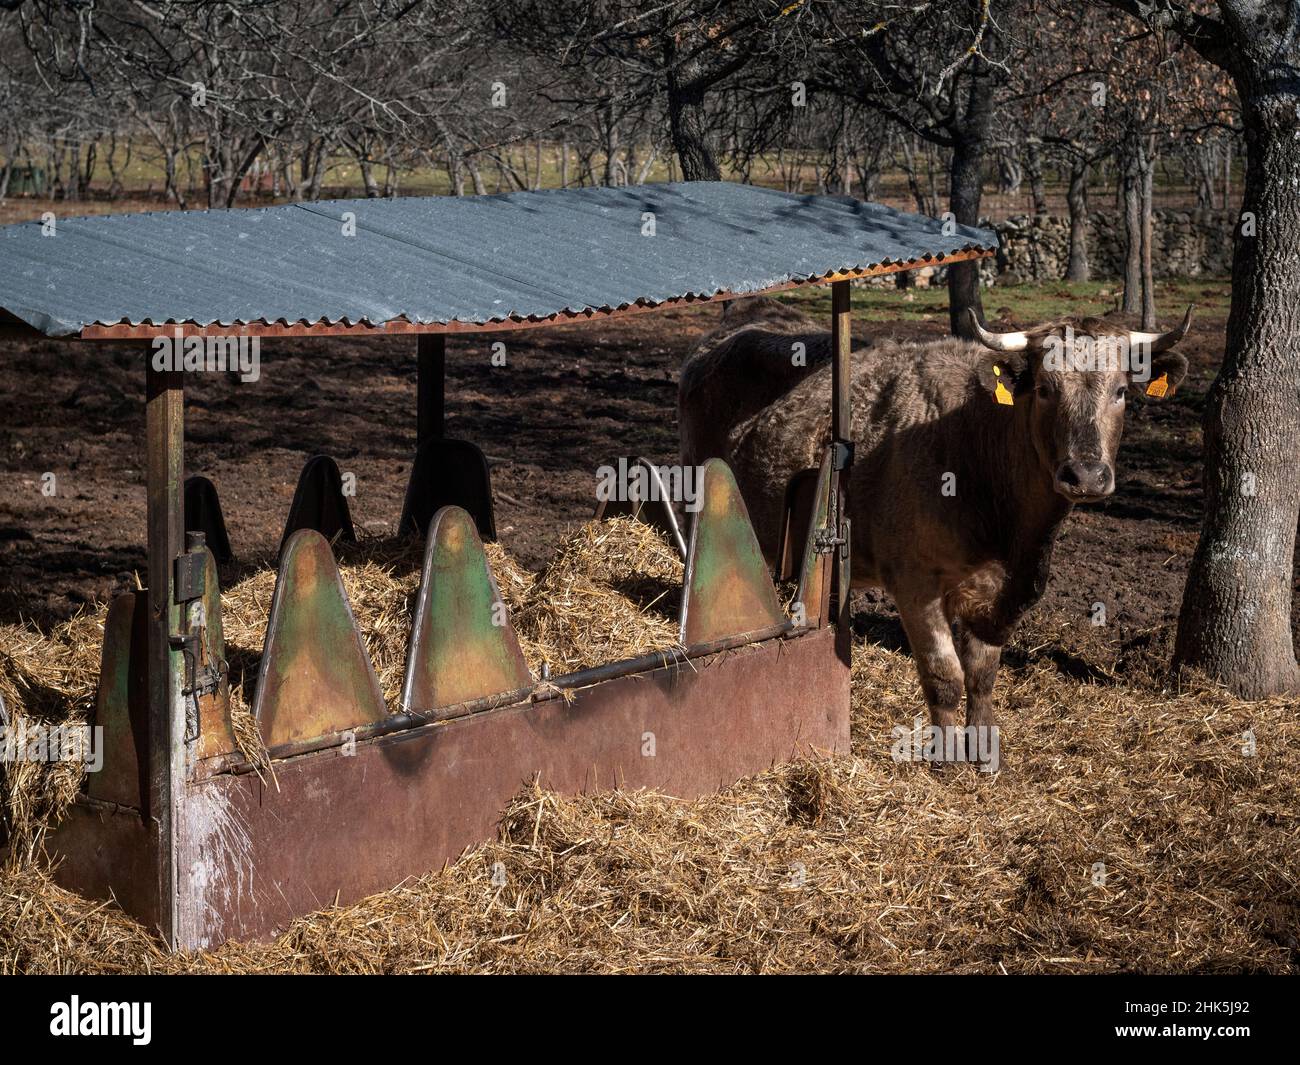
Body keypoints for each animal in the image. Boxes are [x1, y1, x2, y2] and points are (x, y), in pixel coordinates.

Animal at [681, 300, 1190, 764]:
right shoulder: (915, 581)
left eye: (1121, 391)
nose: (1085, 475)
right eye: (1045, 389)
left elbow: (982, 673)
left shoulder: (1006, 591)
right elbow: (944, 674)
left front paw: (983, 749)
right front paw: (945, 758)